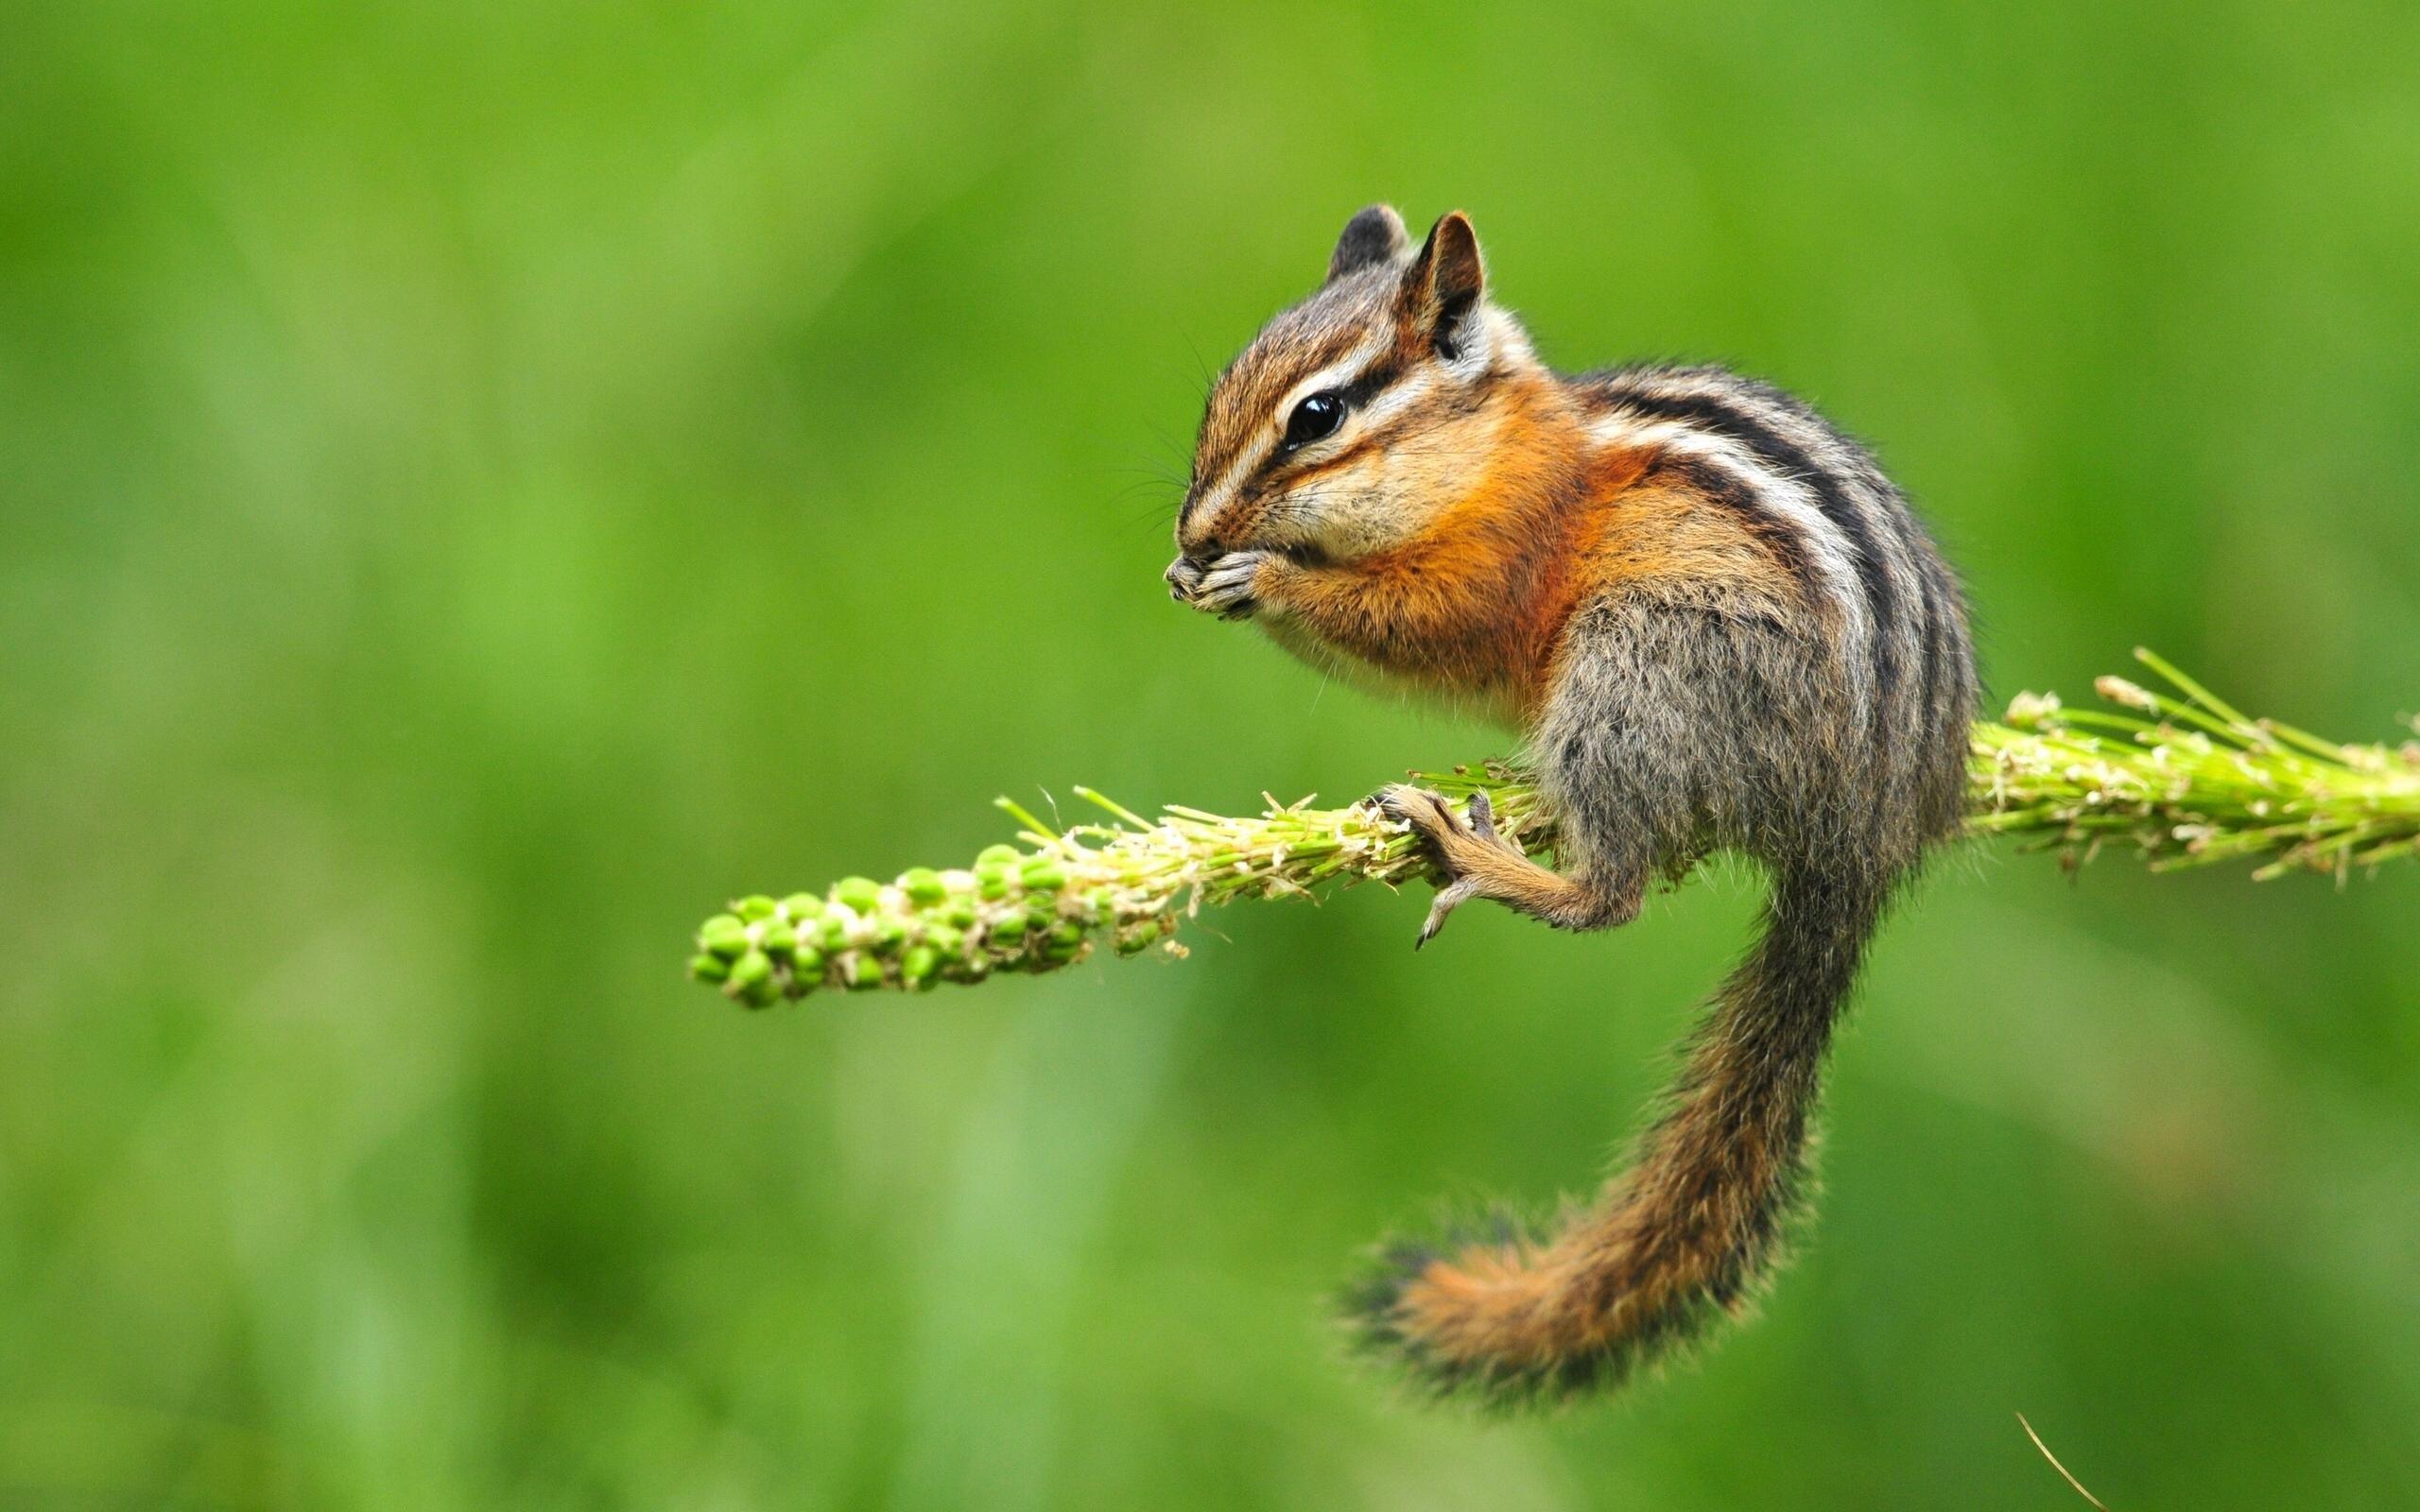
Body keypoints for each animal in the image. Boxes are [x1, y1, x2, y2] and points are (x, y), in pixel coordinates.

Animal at [1164, 206, 1977, 1406]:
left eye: (1317, 415)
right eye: (1221, 393)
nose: (1191, 535)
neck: (1493, 458)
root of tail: (1863, 833)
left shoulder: (1495, 567)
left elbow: (1422, 624)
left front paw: (1262, 580)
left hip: (1634, 670)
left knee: (1611, 895)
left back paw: (1475, 856)